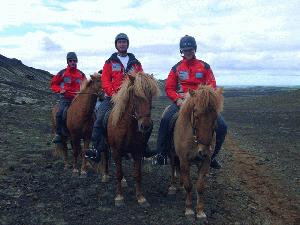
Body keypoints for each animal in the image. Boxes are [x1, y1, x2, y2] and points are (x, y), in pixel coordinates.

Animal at [104, 72, 161, 207]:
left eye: (151, 95)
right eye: (135, 95)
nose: (145, 125)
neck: (127, 127)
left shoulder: (138, 152)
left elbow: (137, 174)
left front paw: (140, 197)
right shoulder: (116, 151)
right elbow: (119, 173)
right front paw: (119, 197)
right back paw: (105, 175)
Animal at [169, 85, 223, 221]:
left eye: (215, 117)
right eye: (196, 115)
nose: (204, 151)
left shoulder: (205, 161)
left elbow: (200, 186)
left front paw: (200, 211)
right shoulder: (184, 159)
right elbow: (189, 185)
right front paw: (188, 209)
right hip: (172, 154)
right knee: (173, 168)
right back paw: (172, 187)